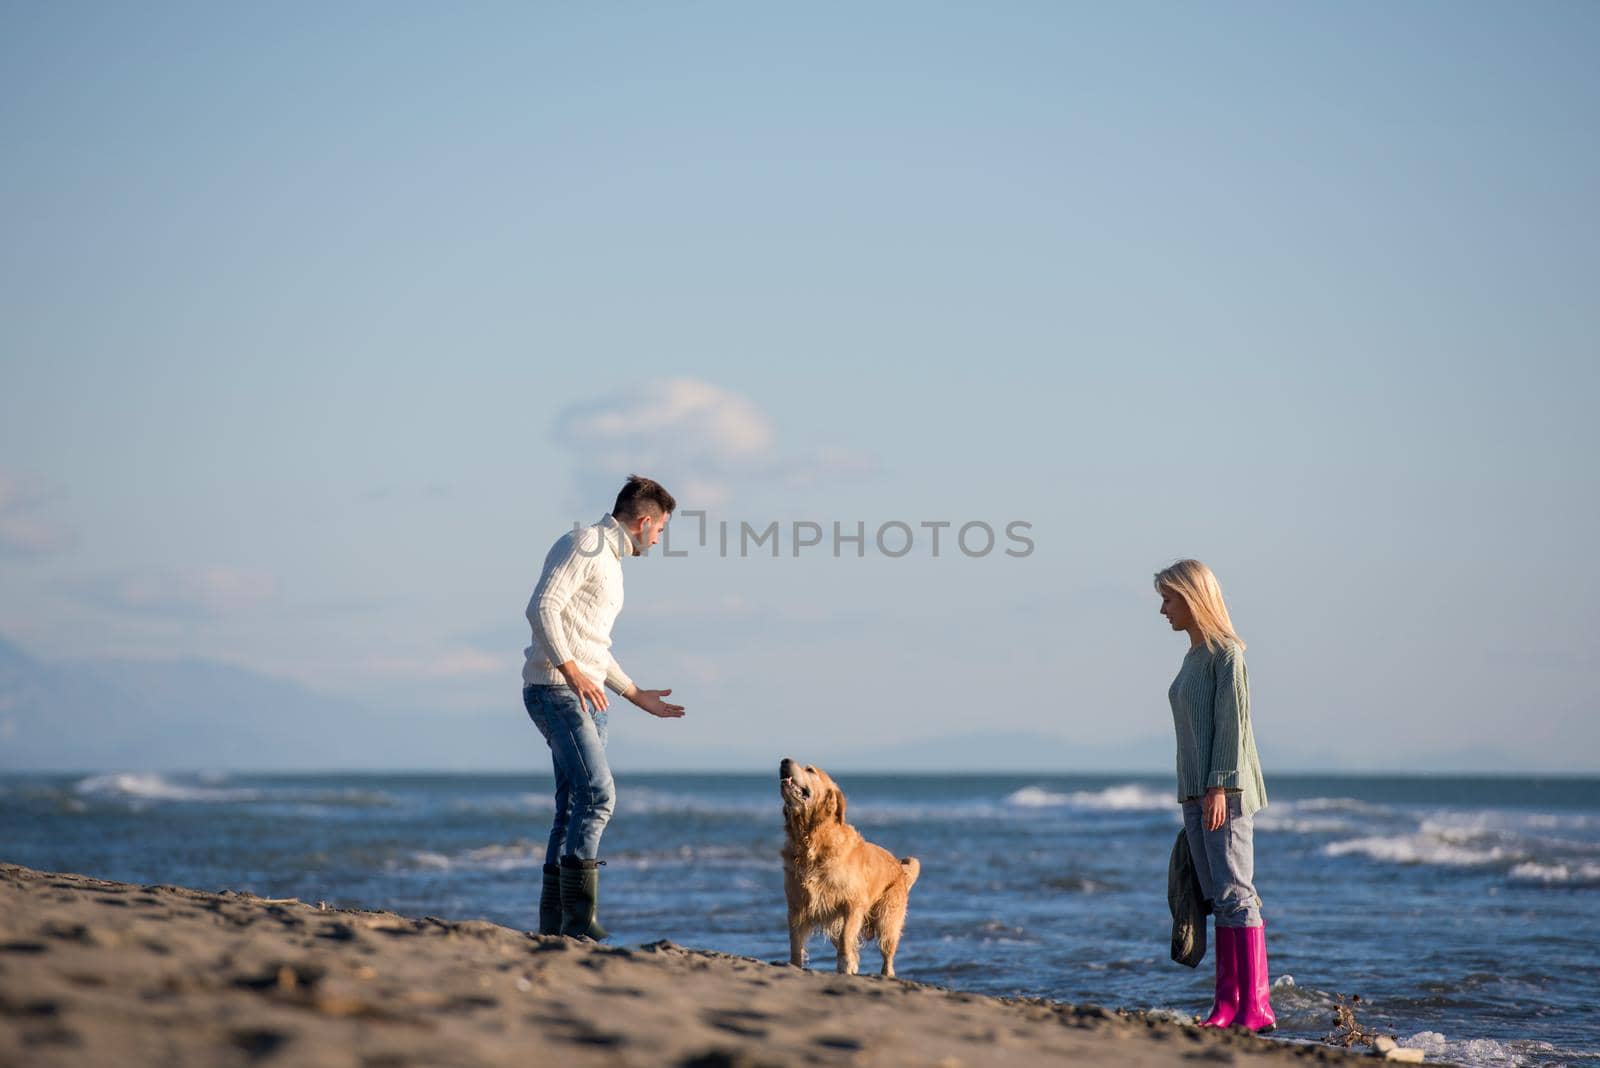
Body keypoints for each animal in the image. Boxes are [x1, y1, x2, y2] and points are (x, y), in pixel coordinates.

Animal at [777, 751, 921, 978]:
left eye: (810, 770)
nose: (784, 761)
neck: (811, 839)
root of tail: (899, 865)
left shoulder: (852, 903)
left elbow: (846, 937)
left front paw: (845, 965)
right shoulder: (796, 905)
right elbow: (795, 942)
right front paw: (794, 966)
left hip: (887, 919)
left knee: (887, 952)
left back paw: (886, 974)